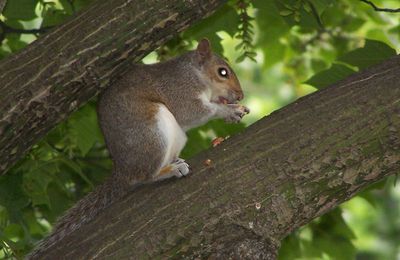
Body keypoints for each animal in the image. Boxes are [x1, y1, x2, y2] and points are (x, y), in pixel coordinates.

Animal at [27, 38, 250, 258]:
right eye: (222, 72)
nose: (240, 95)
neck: (195, 73)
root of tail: (123, 170)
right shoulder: (180, 90)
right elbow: (192, 112)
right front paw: (228, 111)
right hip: (153, 132)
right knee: (144, 177)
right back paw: (169, 170)